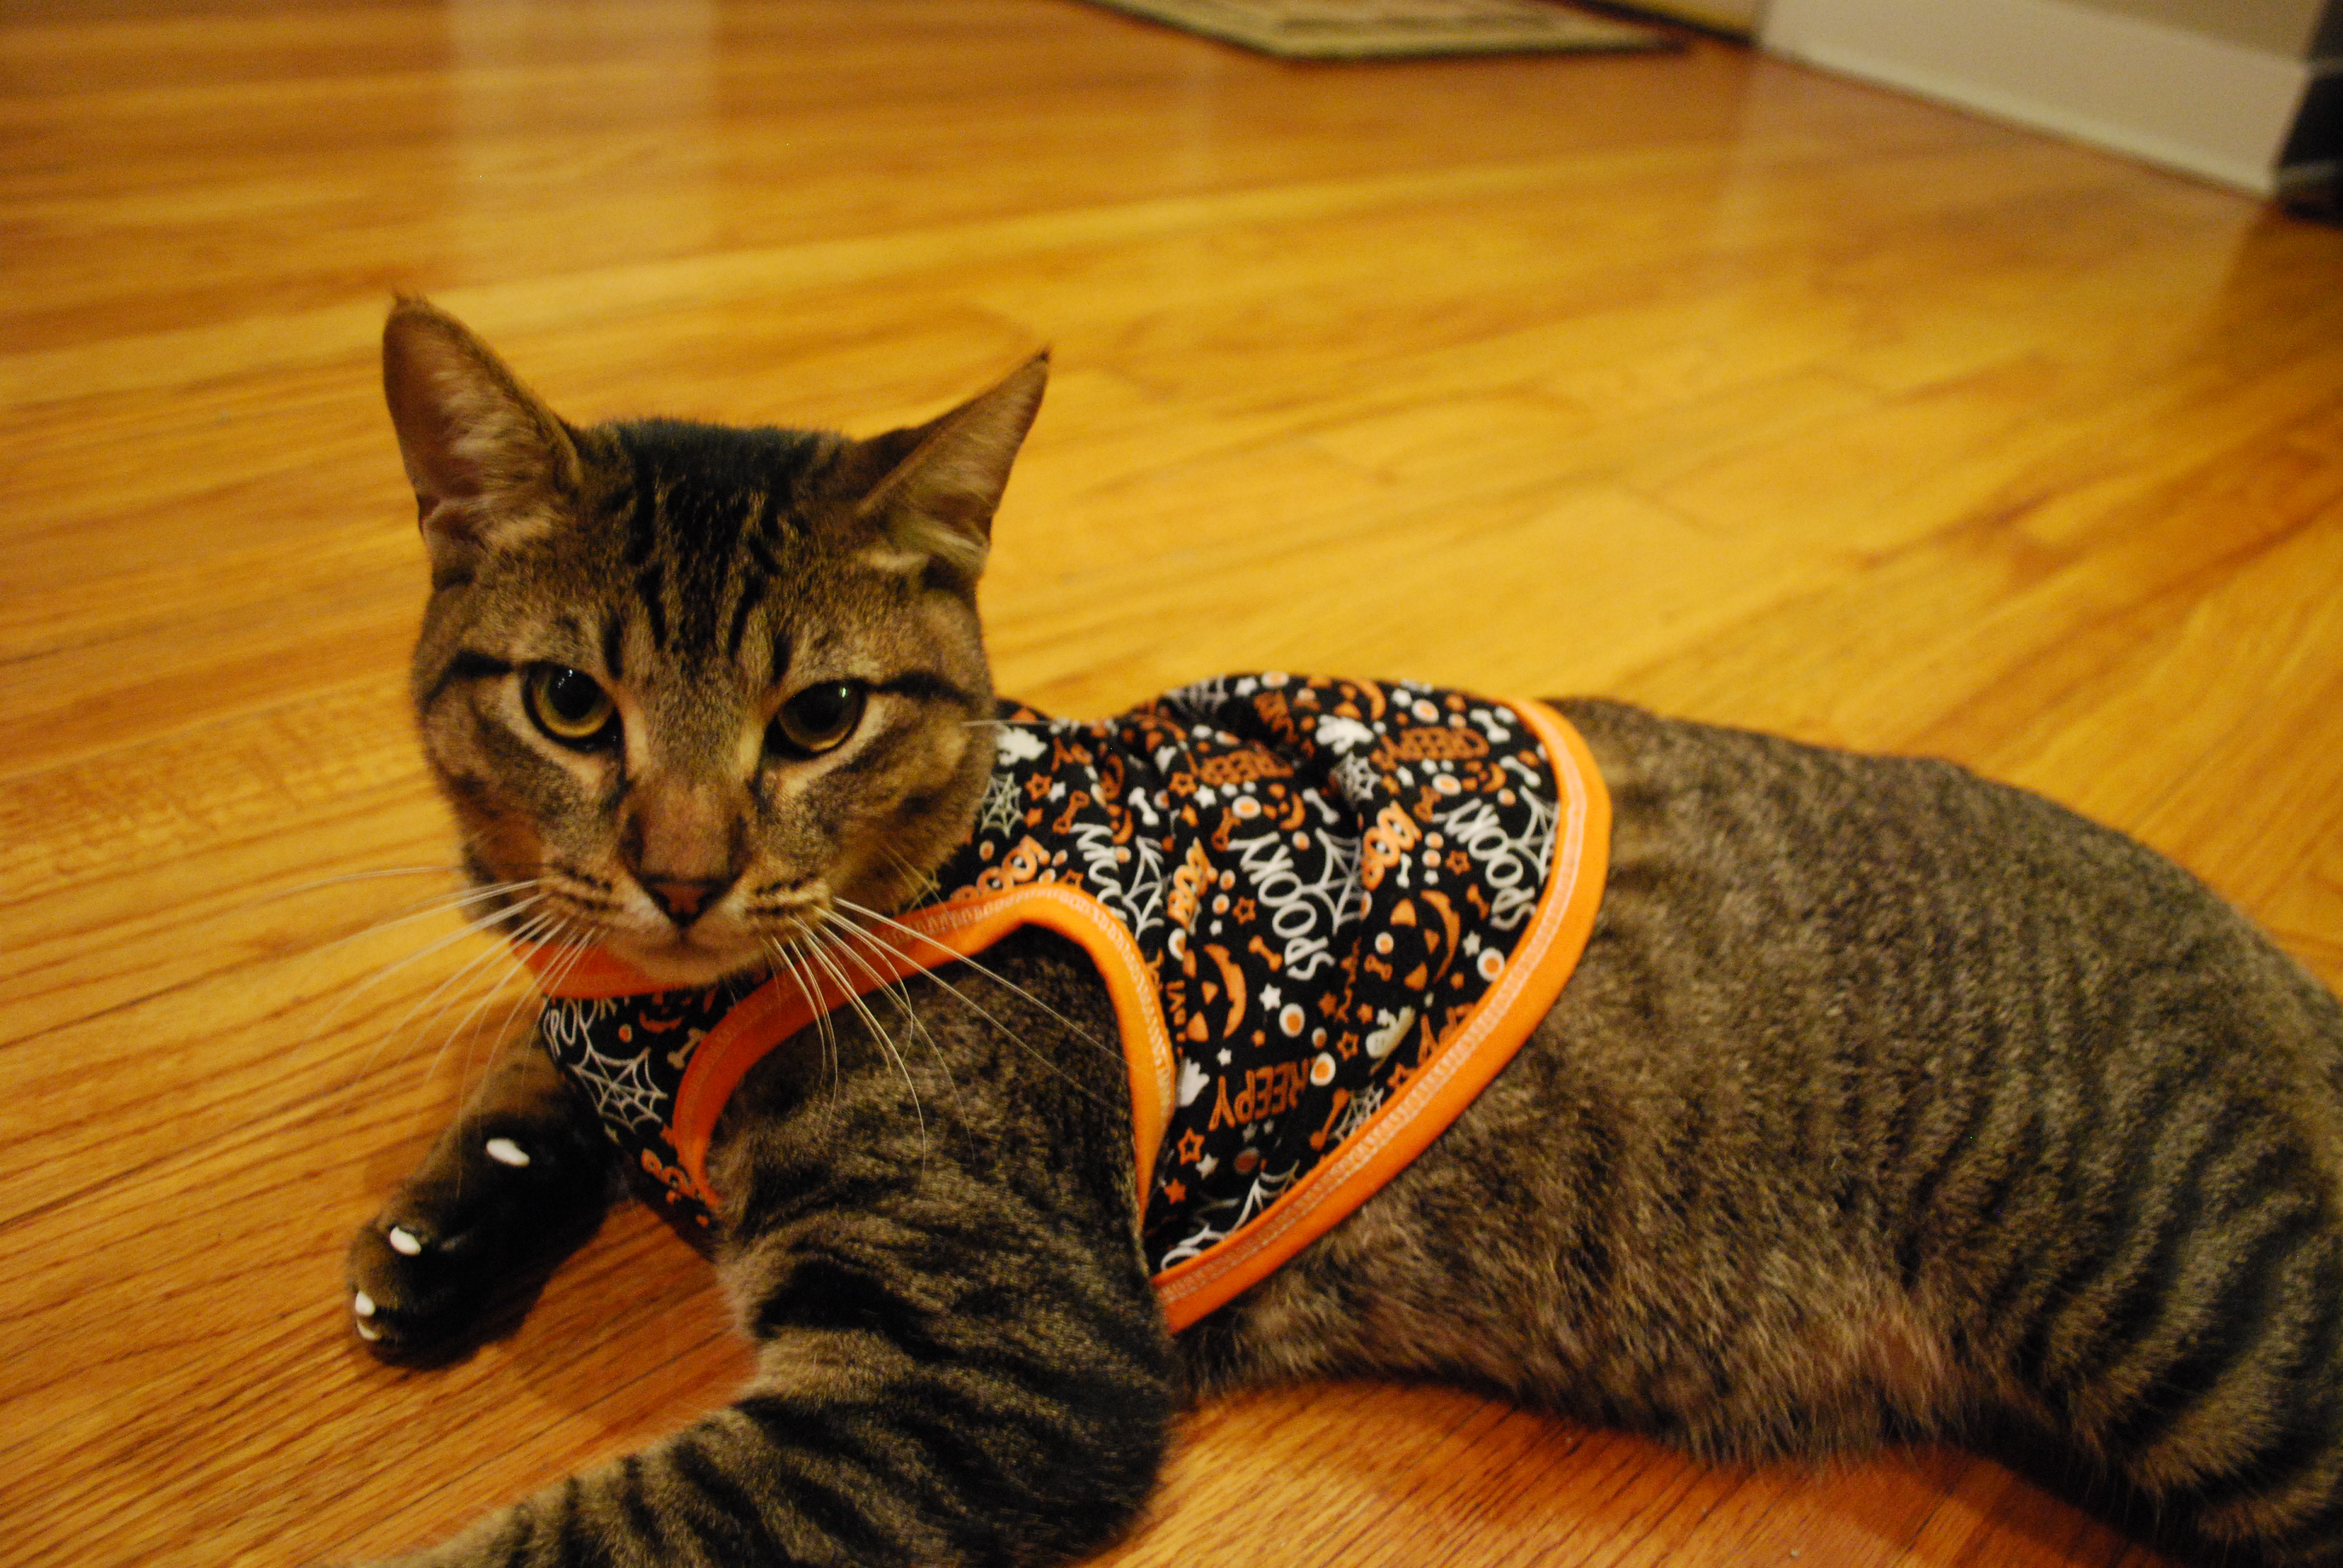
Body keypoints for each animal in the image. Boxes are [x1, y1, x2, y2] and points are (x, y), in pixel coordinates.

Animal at [343, 296, 2343, 1568]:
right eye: (571, 705)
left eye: (820, 718)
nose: (683, 870)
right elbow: (539, 1074)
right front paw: (456, 1221)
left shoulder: (997, 1376)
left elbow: (592, 1534)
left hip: (2200, 1312)